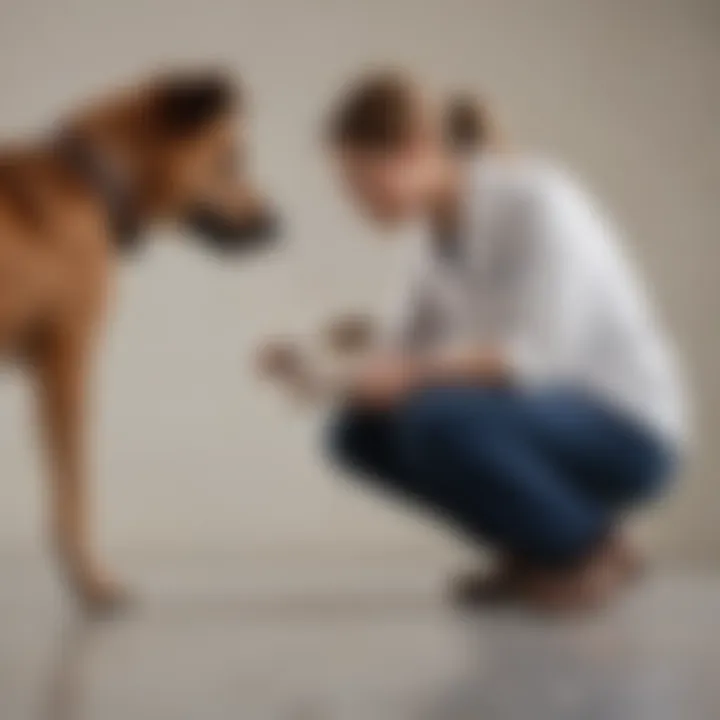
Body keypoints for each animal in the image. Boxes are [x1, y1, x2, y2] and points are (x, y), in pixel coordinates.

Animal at [0, 69, 278, 612]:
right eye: (232, 157)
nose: (278, 227)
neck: (91, 181)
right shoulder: (66, 360)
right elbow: (73, 485)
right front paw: (91, 583)